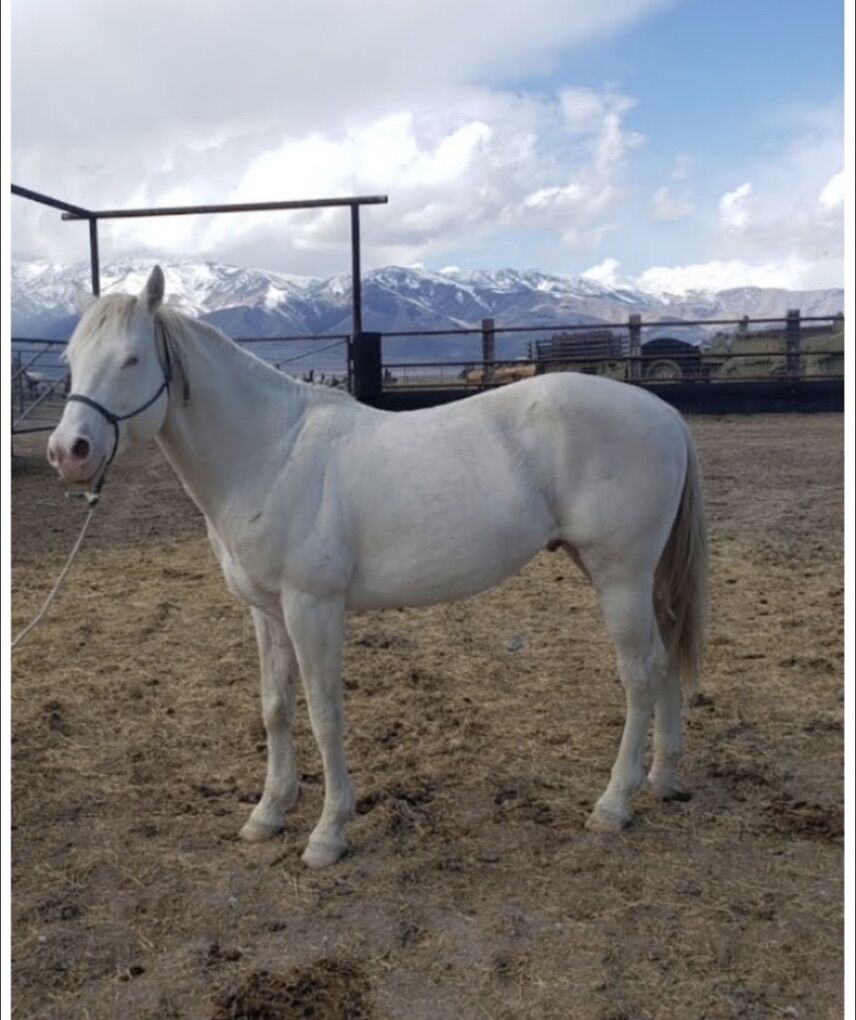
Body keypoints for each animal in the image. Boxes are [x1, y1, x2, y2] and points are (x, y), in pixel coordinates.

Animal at [47, 266, 707, 868]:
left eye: (131, 359)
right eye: (71, 360)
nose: (68, 452)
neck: (272, 454)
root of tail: (664, 414)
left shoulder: (312, 608)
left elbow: (324, 713)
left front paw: (328, 832)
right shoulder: (267, 611)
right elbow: (276, 707)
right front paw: (268, 813)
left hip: (619, 575)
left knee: (639, 673)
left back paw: (613, 804)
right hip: (632, 577)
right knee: (665, 654)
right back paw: (664, 777)